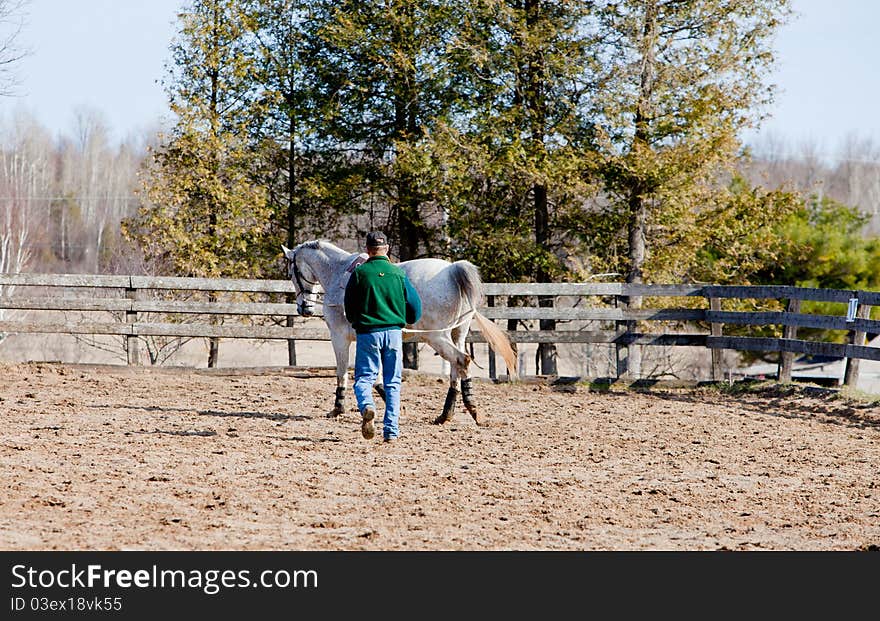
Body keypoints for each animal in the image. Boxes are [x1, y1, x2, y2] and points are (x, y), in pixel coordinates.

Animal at [280, 240, 516, 424]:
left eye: (291, 273)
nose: (304, 308)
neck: (339, 274)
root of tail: (453, 270)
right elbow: (375, 375)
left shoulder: (340, 337)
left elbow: (343, 371)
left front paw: (338, 408)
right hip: (458, 334)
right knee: (456, 368)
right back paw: (448, 414)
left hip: (437, 337)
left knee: (461, 361)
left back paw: (468, 410)